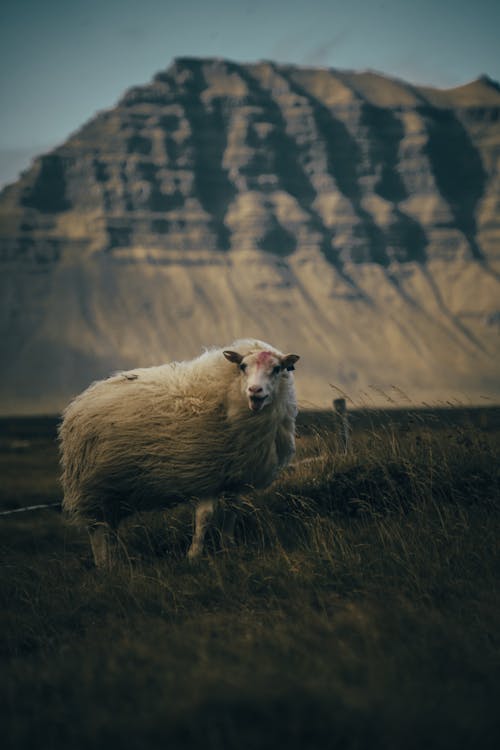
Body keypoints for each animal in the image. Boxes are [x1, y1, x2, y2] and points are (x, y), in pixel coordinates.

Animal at [58, 338, 300, 568]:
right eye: (242, 366)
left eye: (277, 368)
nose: (255, 391)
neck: (229, 398)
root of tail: (81, 399)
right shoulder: (205, 473)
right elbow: (204, 517)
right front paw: (193, 555)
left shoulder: (235, 477)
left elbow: (232, 511)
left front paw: (229, 547)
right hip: (92, 486)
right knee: (96, 529)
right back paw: (104, 564)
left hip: (113, 491)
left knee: (110, 526)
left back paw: (118, 559)